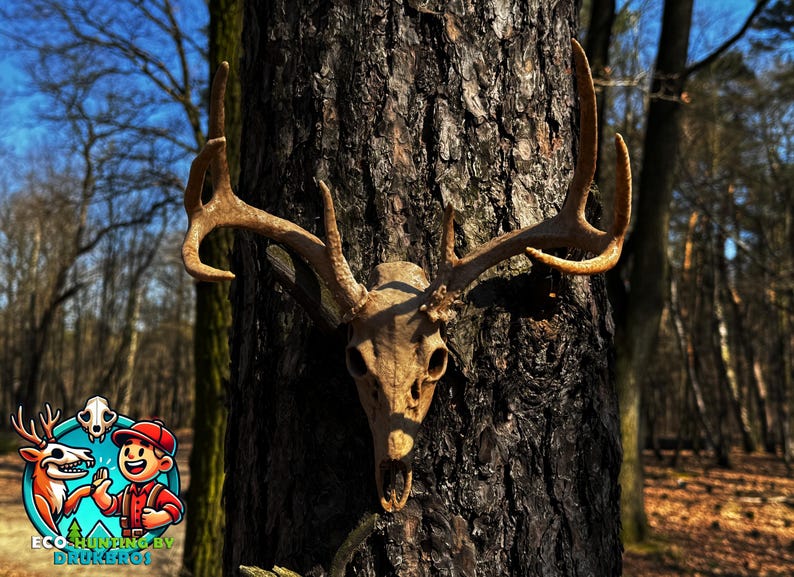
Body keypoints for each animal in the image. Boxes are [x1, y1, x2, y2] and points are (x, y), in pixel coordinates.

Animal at [11, 404, 95, 533]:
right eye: (57, 452)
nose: (87, 452)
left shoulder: (63, 507)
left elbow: (75, 495)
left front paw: (94, 487)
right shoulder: (46, 512)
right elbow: (55, 529)